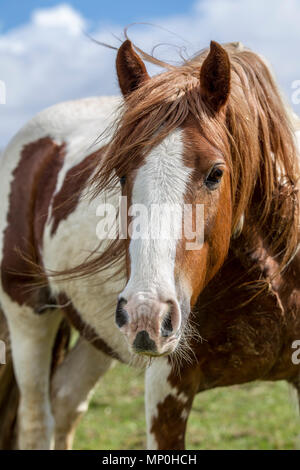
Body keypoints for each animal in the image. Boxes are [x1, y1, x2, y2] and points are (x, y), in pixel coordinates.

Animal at [0, 38, 300, 450]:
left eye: (215, 173)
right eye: (119, 174)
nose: (147, 314)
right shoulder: (166, 387)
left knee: (65, 401)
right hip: (28, 314)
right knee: (35, 422)